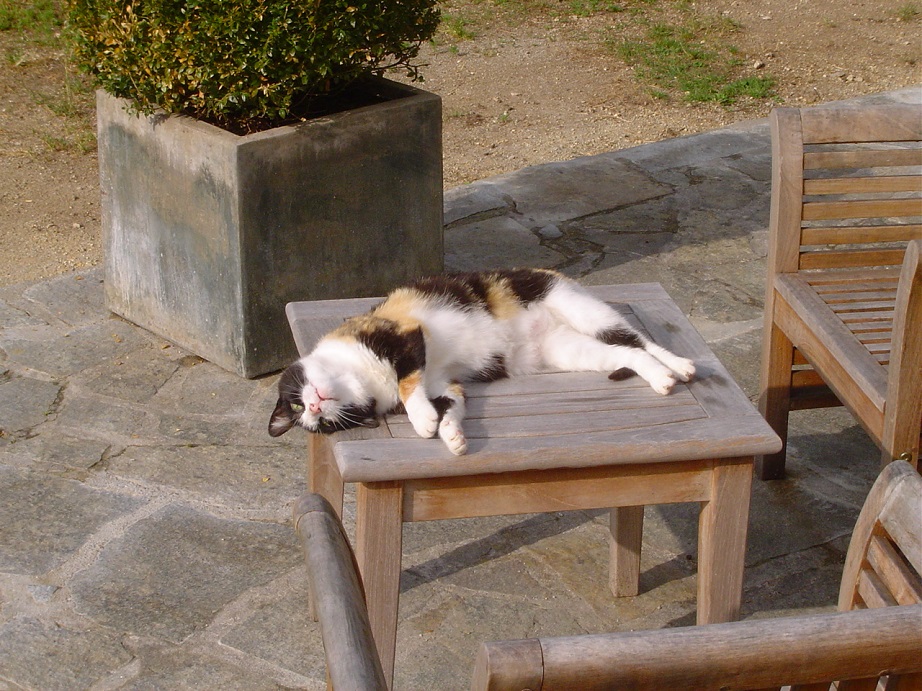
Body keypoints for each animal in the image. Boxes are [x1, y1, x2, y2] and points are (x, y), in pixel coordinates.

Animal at [268, 268, 695, 455]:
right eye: (321, 425)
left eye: (295, 403)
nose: (314, 406)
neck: (364, 378)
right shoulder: (442, 382)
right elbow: (453, 404)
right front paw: (450, 435)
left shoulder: (404, 334)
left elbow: (407, 383)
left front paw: (422, 421)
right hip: (571, 351)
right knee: (627, 352)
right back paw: (664, 378)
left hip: (581, 308)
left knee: (637, 339)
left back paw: (680, 366)